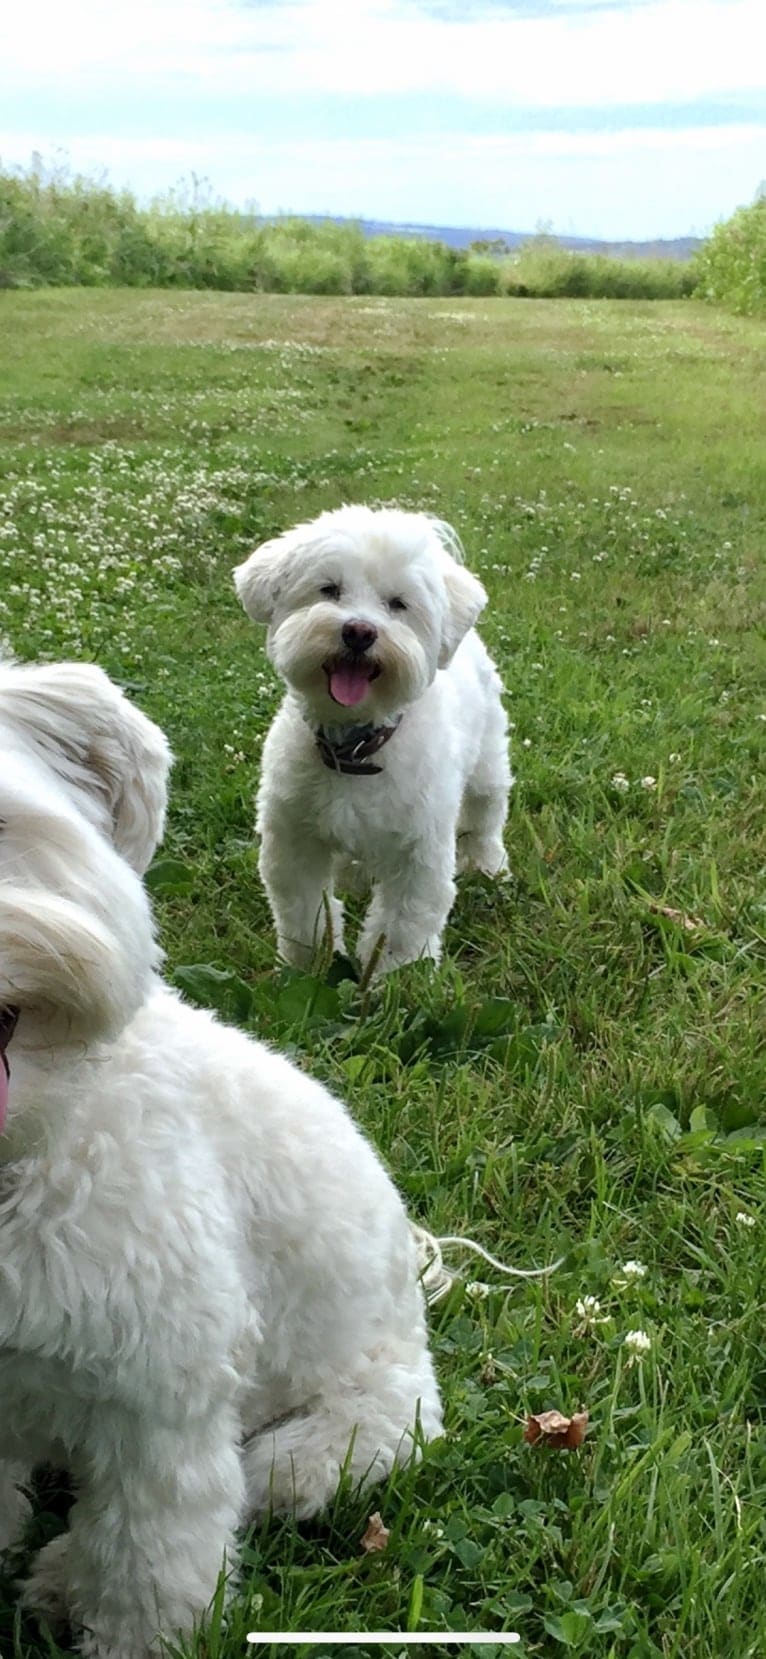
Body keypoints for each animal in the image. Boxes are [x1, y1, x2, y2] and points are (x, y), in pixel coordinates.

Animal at [232, 504, 507, 968]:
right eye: (329, 589)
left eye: (398, 604)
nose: (359, 631)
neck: (356, 748)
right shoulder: (294, 839)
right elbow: (304, 913)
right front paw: (307, 964)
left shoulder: (420, 852)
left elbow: (402, 925)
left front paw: (396, 977)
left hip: (487, 758)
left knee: (485, 812)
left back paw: (487, 862)